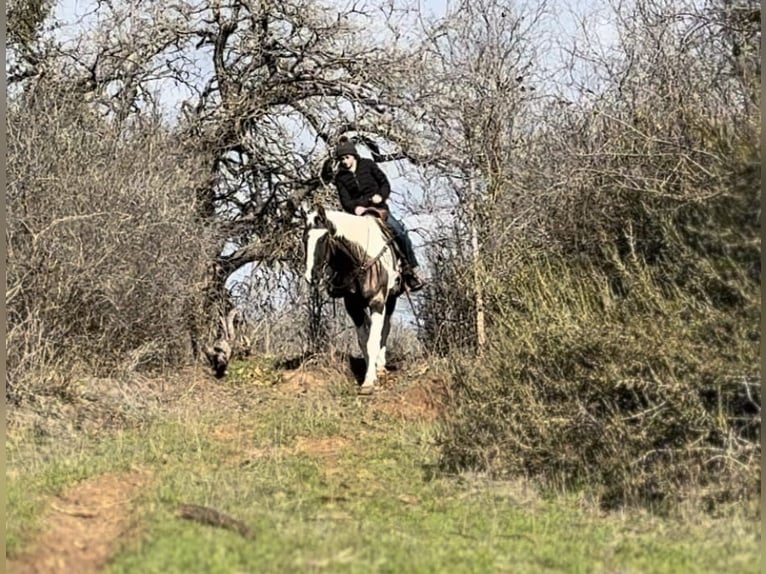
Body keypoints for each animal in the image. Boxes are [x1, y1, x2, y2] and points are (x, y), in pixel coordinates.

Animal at [304, 204, 404, 396]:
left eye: (323, 239)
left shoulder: (377, 302)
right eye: (305, 238)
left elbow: (373, 340)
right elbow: (364, 341)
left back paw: (381, 365)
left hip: (391, 300)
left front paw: (369, 382)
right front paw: (368, 373)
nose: (311, 277)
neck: (360, 260)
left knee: (384, 329)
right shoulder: (353, 307)